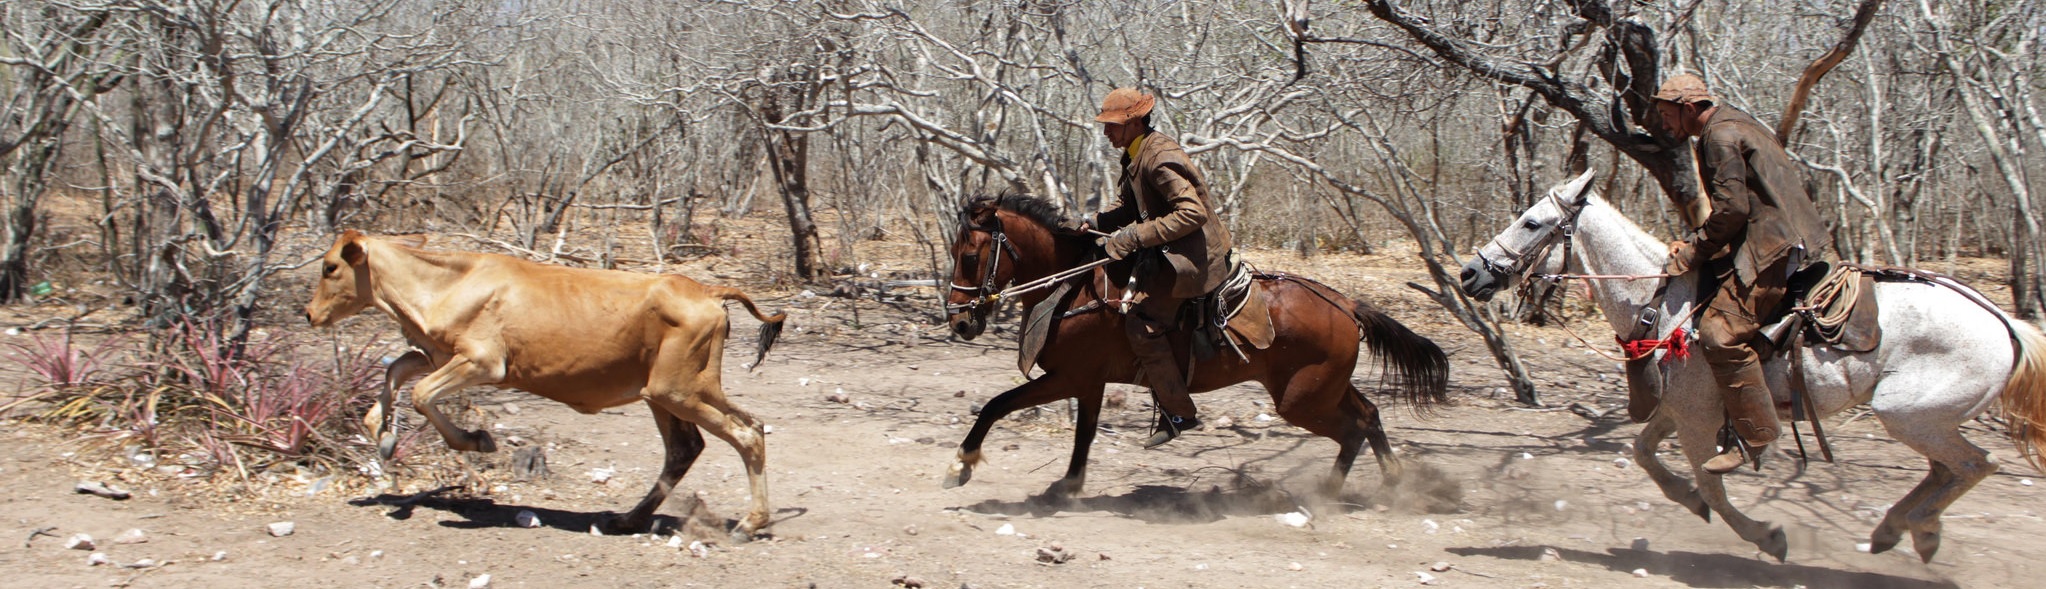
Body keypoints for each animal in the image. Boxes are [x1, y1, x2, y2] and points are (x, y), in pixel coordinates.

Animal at [939, 193, 1449, 501]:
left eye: (970, 256)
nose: (960, 320)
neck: (1076, 289)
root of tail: (1346, 304)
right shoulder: (1089, 383)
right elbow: (1083, 433)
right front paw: (1068, 484)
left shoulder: (1071, 377)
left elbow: (998, 405)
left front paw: (962, 462)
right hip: (1326, 389)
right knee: (1369, 416)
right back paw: (1394, 482)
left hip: (1303, 400)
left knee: (1352, 430)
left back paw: (1326, 496)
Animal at [1458, 171, 2046, 562]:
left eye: (1531, 221)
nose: (1469, 274)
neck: (1666, 303)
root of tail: (2004, 324)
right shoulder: (1682, 410)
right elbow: (1645, 454)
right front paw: (1689, 502)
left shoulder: (1698, 420)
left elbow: (1712, 481)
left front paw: (1766, 535)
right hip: (1924, 420)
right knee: (1948, 469)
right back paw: (1897, 529)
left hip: (1908, 415)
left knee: (1975, 464)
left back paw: (1916, 528)